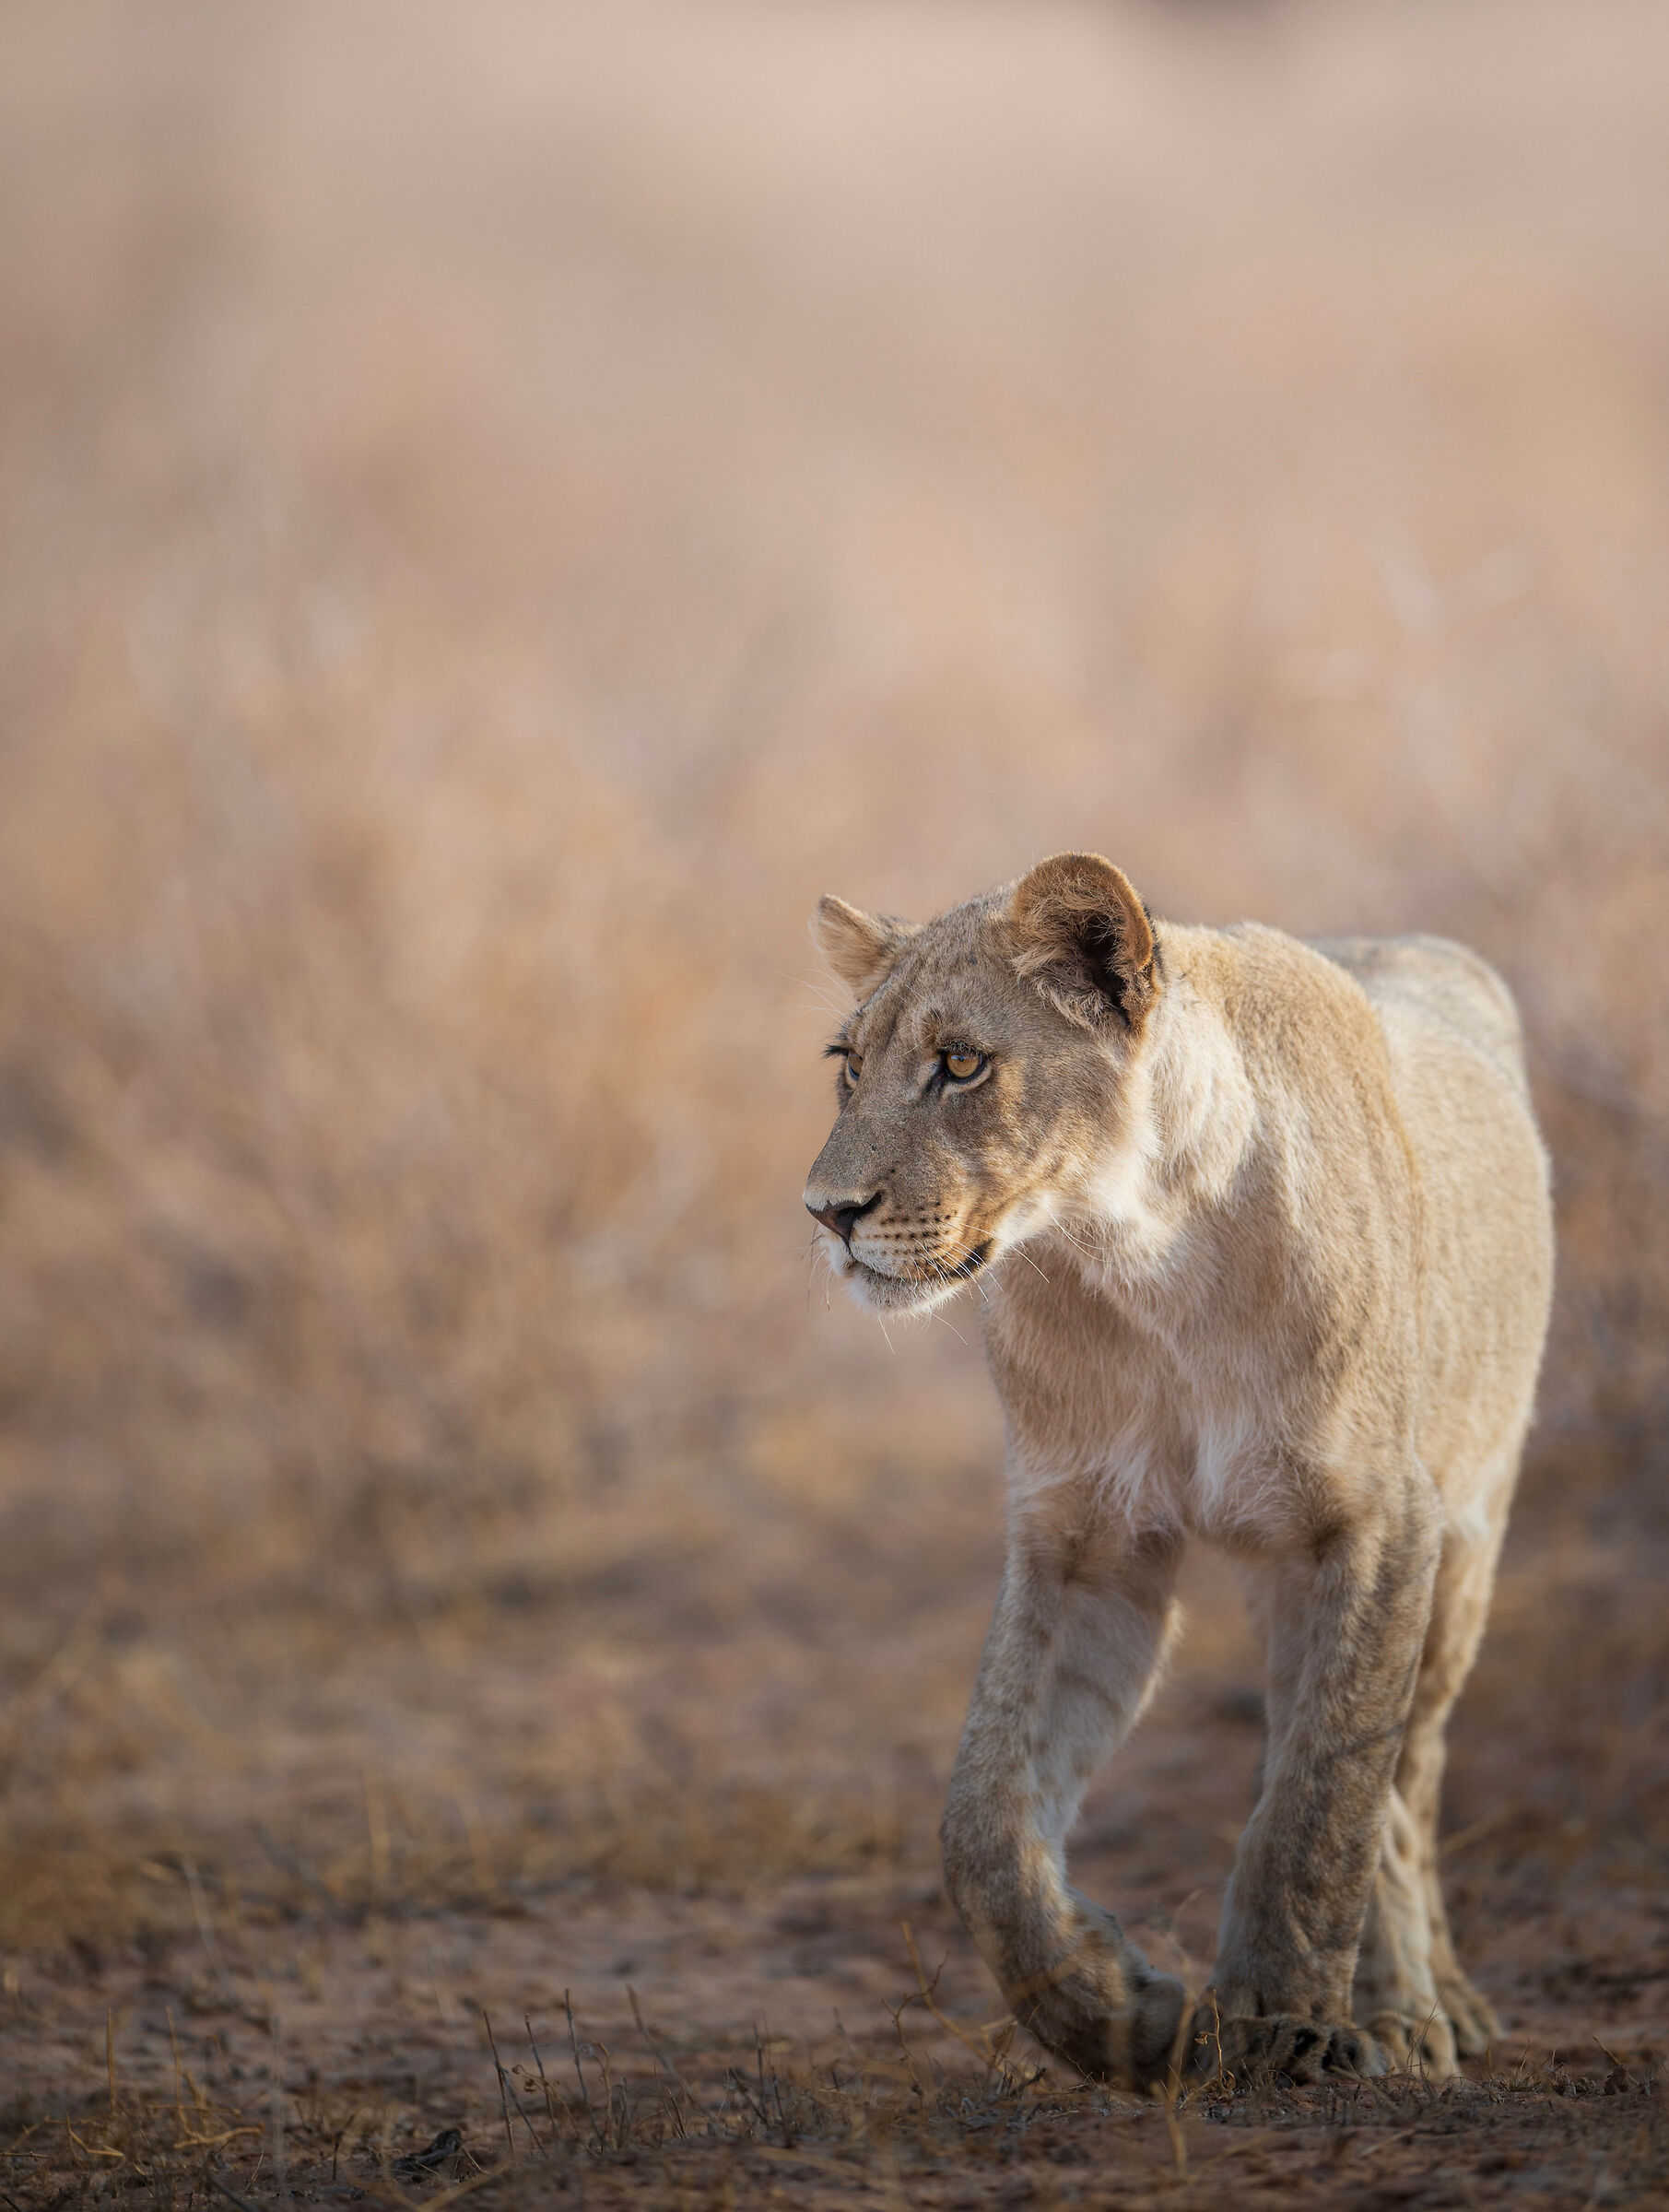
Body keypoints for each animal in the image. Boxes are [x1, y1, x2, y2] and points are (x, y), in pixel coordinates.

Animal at [802, 853, 1552, 2087]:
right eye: (848, 1066)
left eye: (960, 1064)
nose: (827, 1214)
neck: (1141, 1257)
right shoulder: (1082, 1537)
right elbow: (982, 1821)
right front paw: (1118, 2009)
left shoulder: (1372, 1521)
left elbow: (1325, 1796)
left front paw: (1280, 2020)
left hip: (1464, 1537)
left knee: (1403, 1771)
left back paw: (1413, 2008)